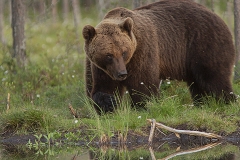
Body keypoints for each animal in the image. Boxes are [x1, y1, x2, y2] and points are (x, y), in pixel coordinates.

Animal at [82, 0, 234, 115]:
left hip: (204, 44)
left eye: (124, 52)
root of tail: (218, 16)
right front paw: (110, 103)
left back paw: (227, 101)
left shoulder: (143, 50)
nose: (121, 74)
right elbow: (102, 88)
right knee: (198, 84)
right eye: (109, 55)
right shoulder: (100, 67)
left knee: (214, 77)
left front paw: (143, 106)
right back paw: (203, 103)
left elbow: (143, 83)